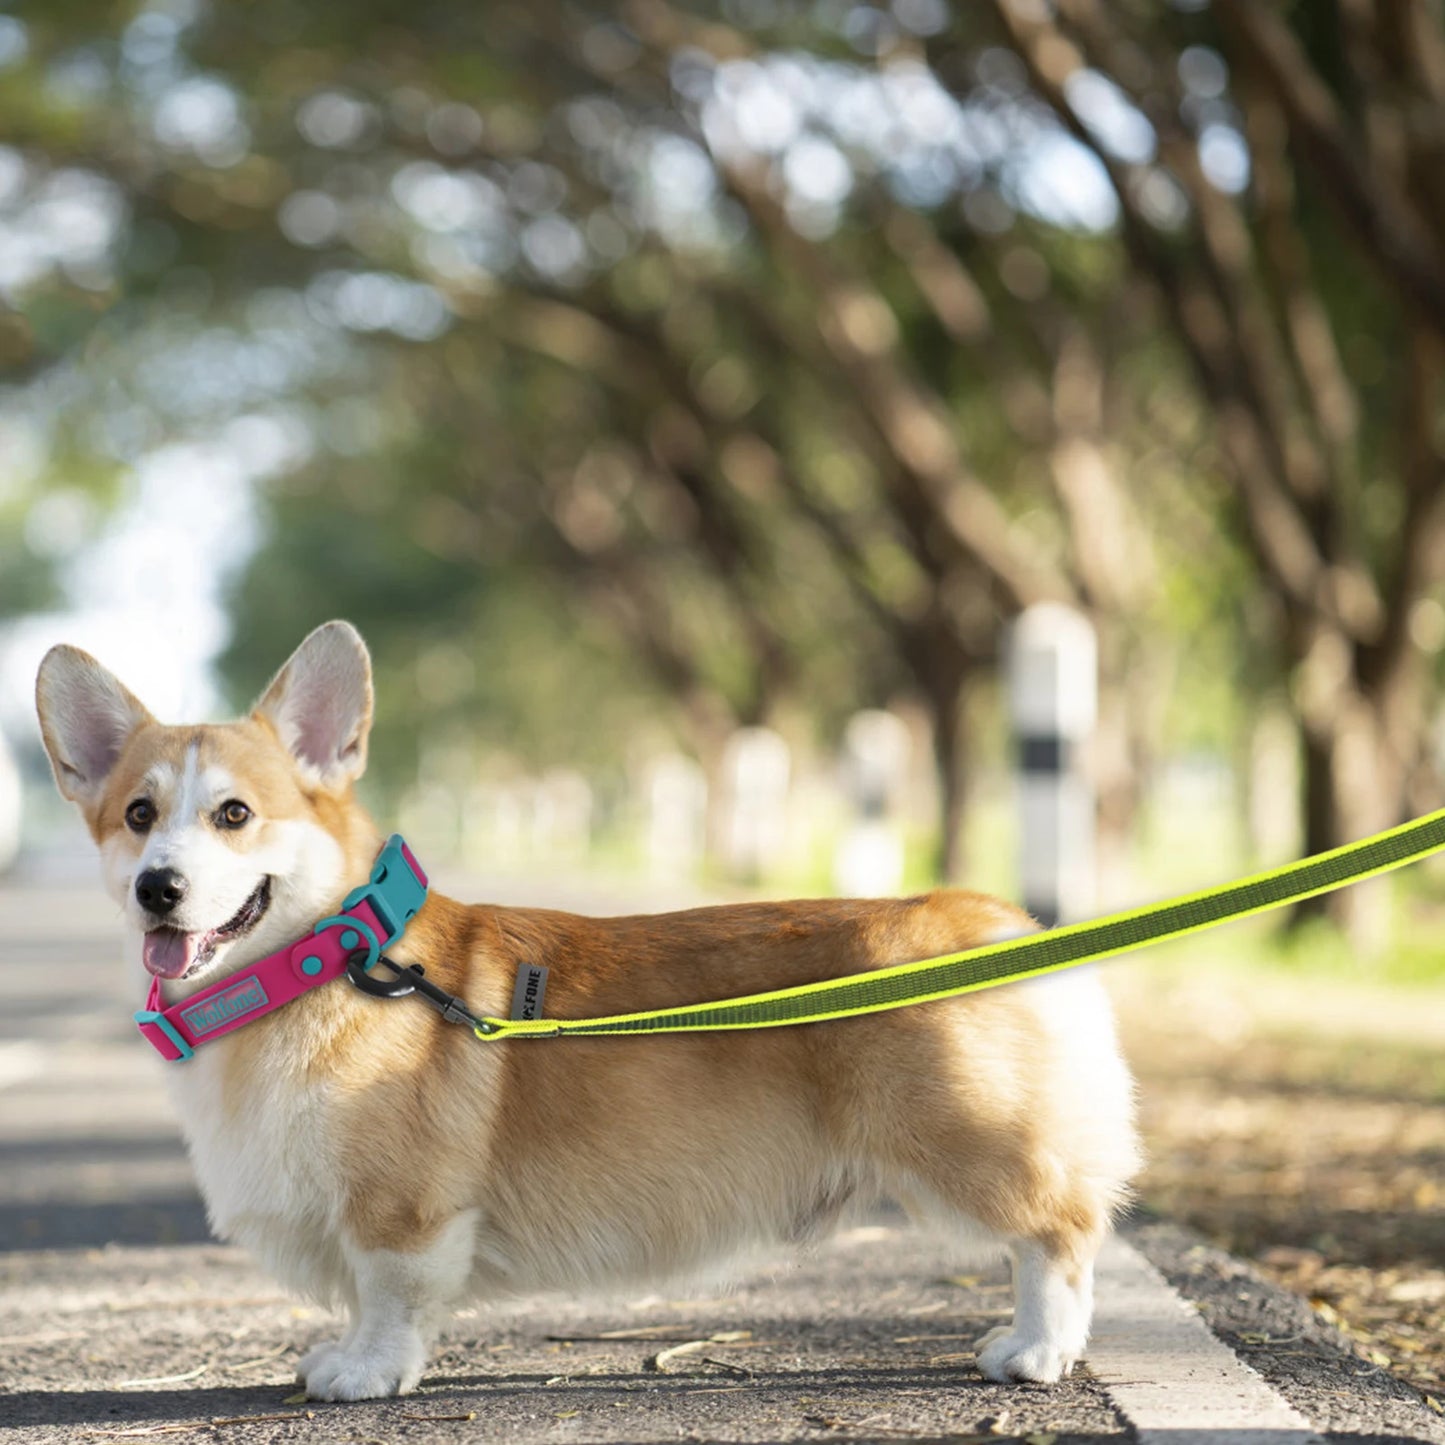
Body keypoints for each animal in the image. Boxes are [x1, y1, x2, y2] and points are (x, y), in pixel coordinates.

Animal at [36, 621, 1138, 1398]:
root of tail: (998, 917)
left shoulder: (399, 1210)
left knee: (1059, 1230)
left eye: (234, 814)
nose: (160, 889)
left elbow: (390, 1294)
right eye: (138, 815)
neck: (321, 964)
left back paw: (1034, 1350)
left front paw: (366, 1373)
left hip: (968, 1146)